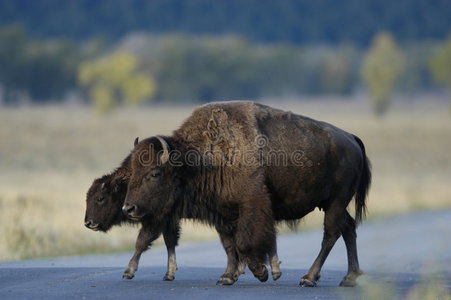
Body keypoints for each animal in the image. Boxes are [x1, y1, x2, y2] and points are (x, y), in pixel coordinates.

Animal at [84, 138, 280, 284]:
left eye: (100, 198)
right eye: (88, 197)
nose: (88, 223)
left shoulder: (157, 219)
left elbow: (142, 241)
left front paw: (128, 271)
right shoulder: (169, 220)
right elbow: (169, 242)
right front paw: (169, 273)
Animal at [122, 102, 370, 288]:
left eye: (154, 173)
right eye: (132, 171)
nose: (128, 208)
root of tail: (351, 138)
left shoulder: (252, 205)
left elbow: (244, 243)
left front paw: (261, 272)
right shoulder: (222, 212)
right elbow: (229, 245)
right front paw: (227, 277)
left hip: (336, 202)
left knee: (331, 234)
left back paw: (308, 278)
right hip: (332, 204)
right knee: (348, 228)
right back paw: (349, 277)